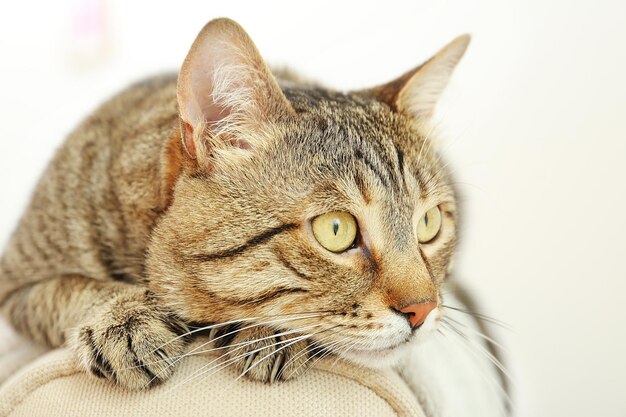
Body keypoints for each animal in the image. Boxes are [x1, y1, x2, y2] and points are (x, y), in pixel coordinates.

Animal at [0, 15, 508, 412]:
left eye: (429, 224)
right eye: (336, 230)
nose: (424, 309)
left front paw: (268, 333)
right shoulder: (15, 282)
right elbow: (66, 289)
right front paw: (123, 318)